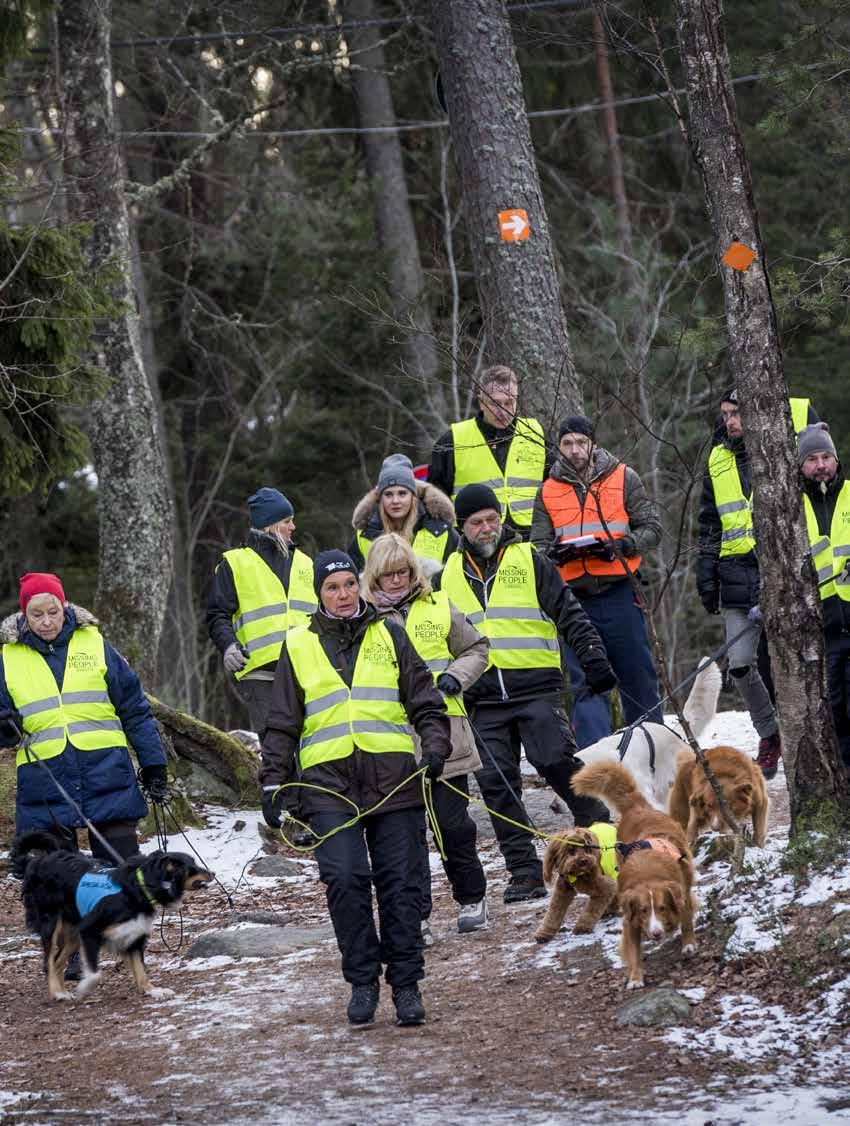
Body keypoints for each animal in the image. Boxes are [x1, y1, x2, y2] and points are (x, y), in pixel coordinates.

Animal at [14, 828, 212, 1004]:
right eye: (192, 866)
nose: (213, 873)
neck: (138, 888)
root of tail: (36, 860)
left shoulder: (134, 936)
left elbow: (141, 970)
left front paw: (152, 990)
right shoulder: (89, 930)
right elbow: (95, 973)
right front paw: (85, 987)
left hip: (73, 932)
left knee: (57, 962)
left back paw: (61, 992)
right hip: (51, 923)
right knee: (49, 962)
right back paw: (57, 992)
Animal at [571, 761, 698, 990]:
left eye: (662, 907)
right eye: (643, 910)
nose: (656, 933)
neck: (648, 873)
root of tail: (637, 806)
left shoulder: (680, 893)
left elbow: (686, 921)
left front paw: (689, 944)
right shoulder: (630, 919)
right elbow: (634, 952)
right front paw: (636, 978)